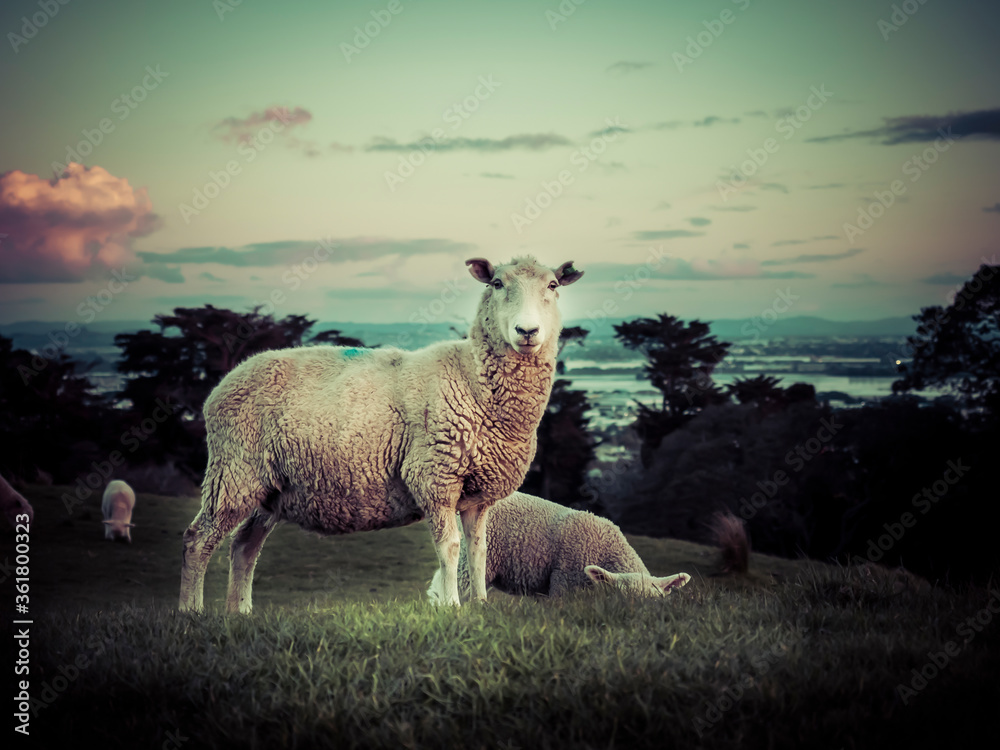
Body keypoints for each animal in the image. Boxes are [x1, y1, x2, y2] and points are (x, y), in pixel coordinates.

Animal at [179, 256, 583, 613]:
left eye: (552, 286)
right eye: (497, 283)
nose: (527, 332)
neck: (471, 377)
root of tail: (224, 384)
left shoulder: (478, 492)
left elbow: (479, 550)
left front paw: (481, 605)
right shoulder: (433, 476)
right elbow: (450, 547)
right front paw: (453, 606)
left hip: (271, 488)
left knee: (244, 547)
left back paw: (240, 612)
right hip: (235, 470)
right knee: (198, 540)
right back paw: (191, 611)